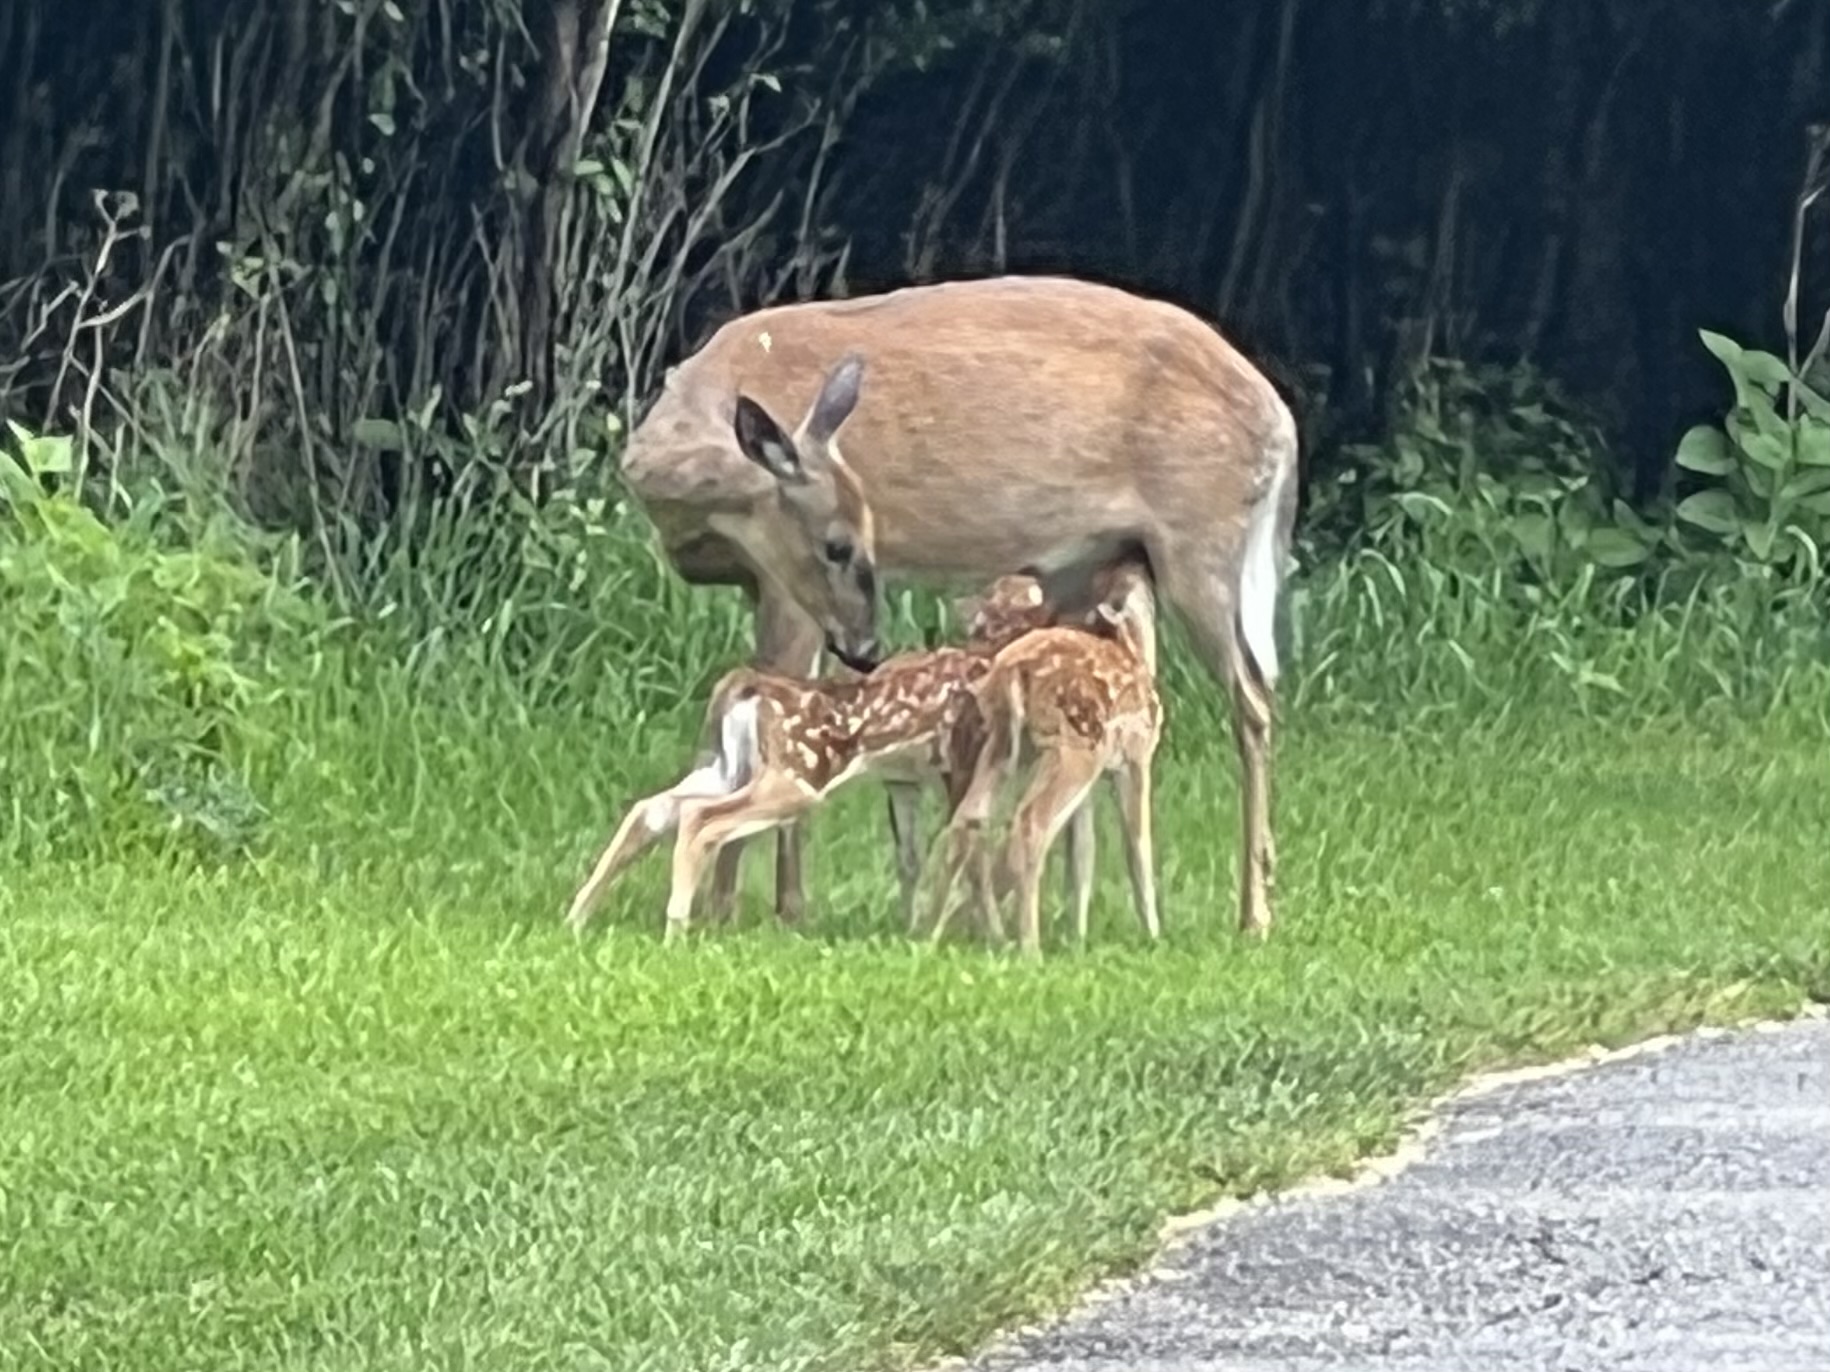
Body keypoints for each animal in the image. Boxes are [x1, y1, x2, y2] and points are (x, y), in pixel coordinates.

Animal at [567, 570, 1112, 943]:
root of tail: (745, 687)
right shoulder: (961, 761)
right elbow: (969, 845)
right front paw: (987, 935)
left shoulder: (906, 779)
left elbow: (912, 856)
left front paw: (913, 926)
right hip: (797, 775)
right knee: (701, 820)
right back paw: (674, 926)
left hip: (727, 766)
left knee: (651, 809)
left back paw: (578, 915)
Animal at [922, 556, 1163, 958]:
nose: (1137, 562)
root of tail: (1010, 672)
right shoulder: (1137, 756)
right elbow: (1138, 846)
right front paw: (1154, 934)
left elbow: (1083, 853)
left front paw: (1077, 937)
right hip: (1073, 747)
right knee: (1030, 824)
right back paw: (1029, 947)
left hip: (1007, 746)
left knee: (969, 819)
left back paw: (931, 933)